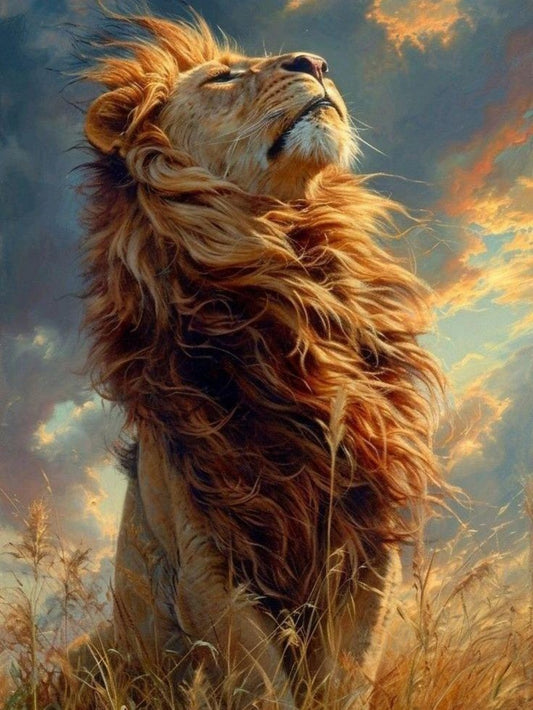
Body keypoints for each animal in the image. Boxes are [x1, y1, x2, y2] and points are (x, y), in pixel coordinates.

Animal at [77, 11, 443, 709]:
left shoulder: (365, 537)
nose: (317, 62)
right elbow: (261, 685)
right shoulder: (207, 566)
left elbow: (345, 677)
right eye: (222, 77)